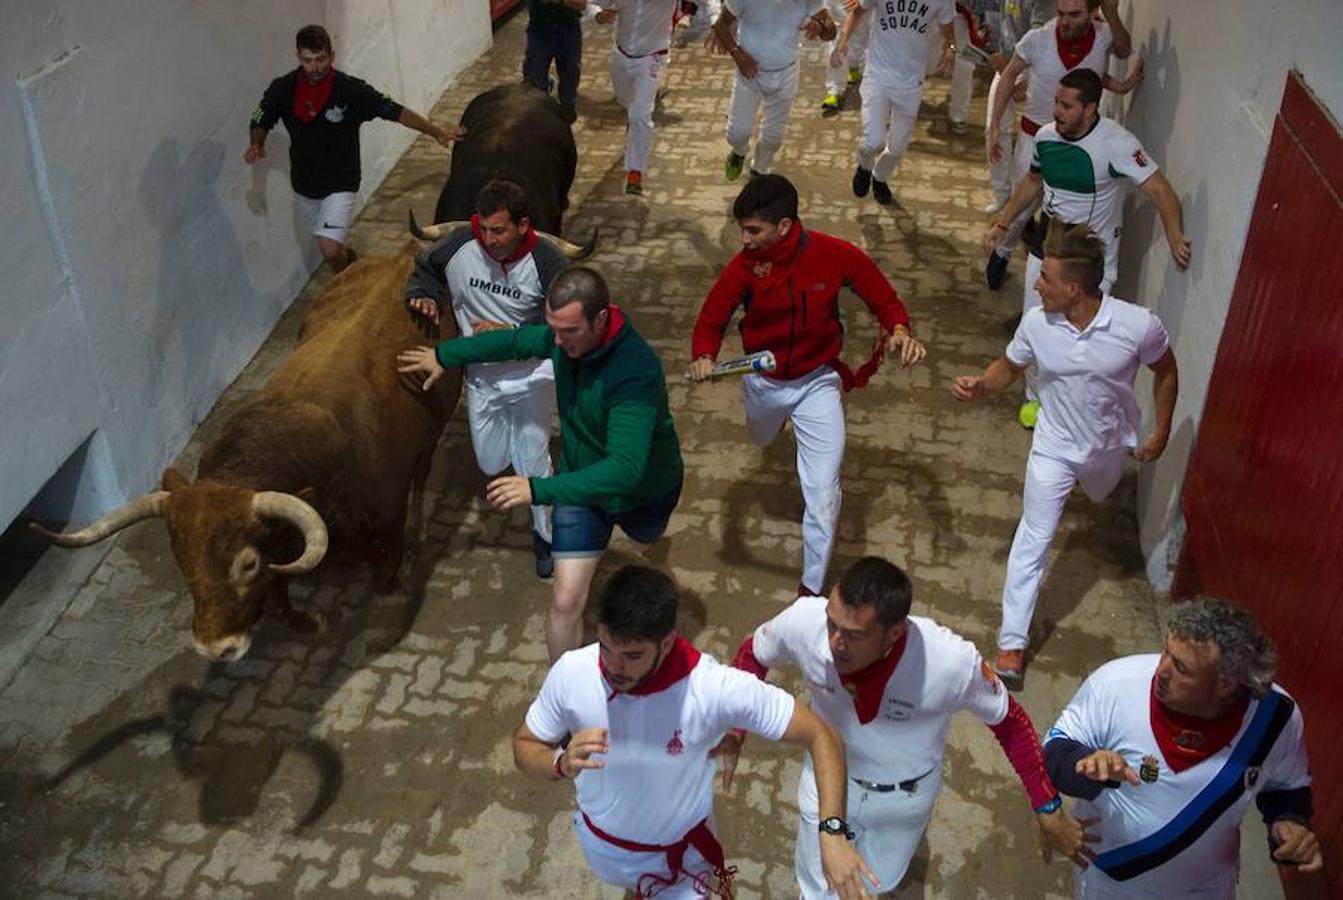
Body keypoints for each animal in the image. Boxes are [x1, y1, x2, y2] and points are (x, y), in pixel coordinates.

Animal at [34, 247, 461, 663]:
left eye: (248, 563)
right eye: (183, 561)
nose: (214, 648)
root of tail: (403, 254)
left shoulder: (387, 517)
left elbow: (385, 568)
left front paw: (390, 586)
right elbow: (277, 590)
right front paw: (297, 619)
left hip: (434, 434)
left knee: (423, 474)